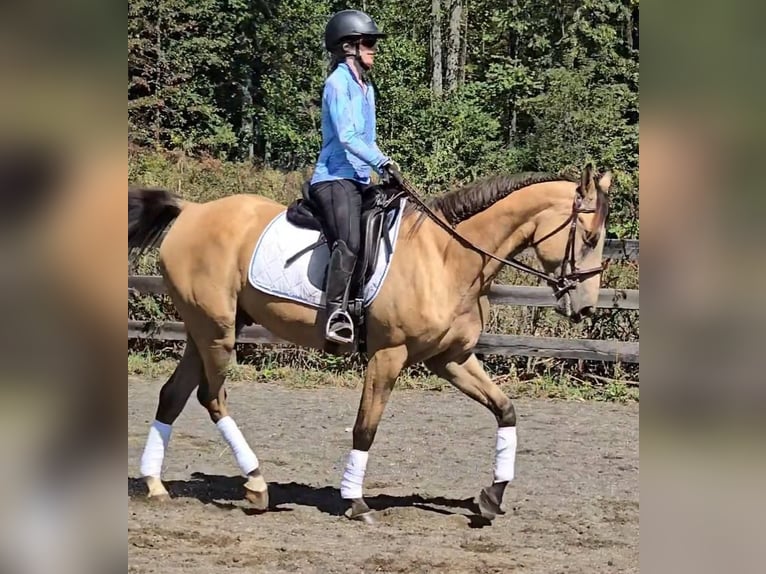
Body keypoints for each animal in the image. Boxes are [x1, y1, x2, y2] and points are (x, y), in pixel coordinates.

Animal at [128, 163, 611, 523]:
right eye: (589, 238)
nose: (586, 307)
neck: (447, 259)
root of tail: (191, 210)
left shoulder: (450, 359)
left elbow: (505, 409)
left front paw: (492, 497)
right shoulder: (388, 355)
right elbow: (366, 426)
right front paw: (354, 501)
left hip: (202, 330)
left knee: (173, 395)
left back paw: (155, 484)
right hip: (217, 332)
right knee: (212, 396)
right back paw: (256, 484)